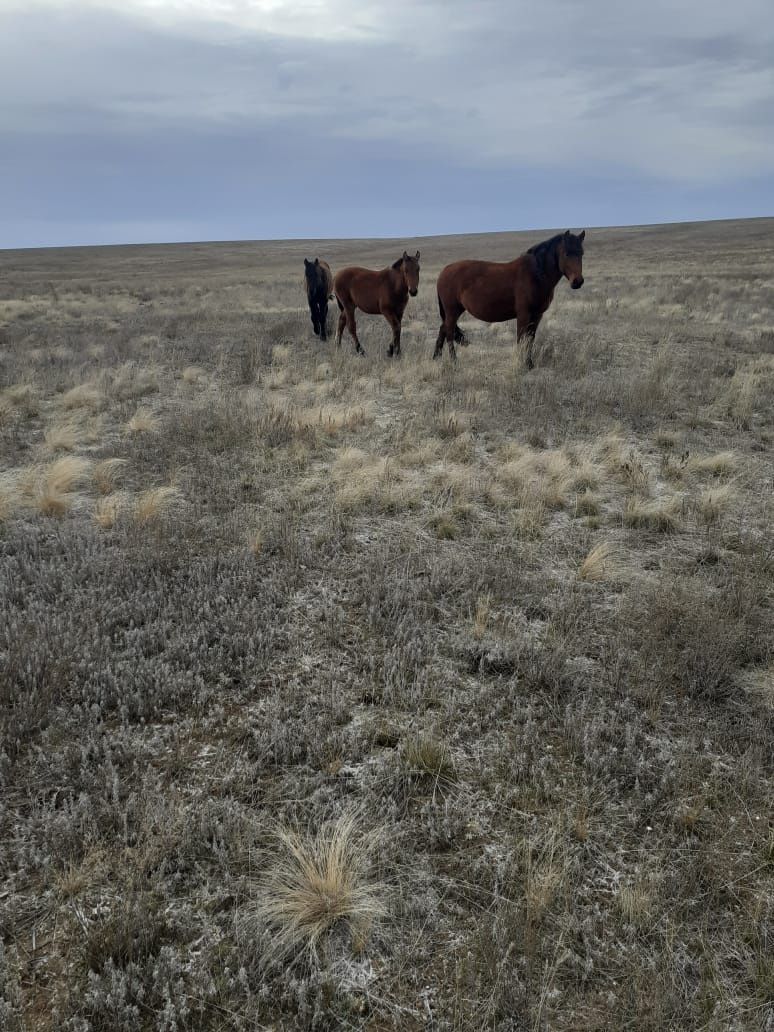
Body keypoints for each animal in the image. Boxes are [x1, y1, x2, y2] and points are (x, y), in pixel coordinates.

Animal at [433, 230, 586, 367]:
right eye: (567, 253)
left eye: (581, 253)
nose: (577, 282)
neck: (535, 274)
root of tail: (444, 271)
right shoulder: (524, 314)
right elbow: (521, 339)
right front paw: (521, 363)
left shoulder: (537, 315)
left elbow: (530, 339)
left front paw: (529, 364)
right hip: (452, 311)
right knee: (449, 332)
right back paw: (454, 361)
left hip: (455, 311)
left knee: (443, 329)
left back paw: (436, 358)